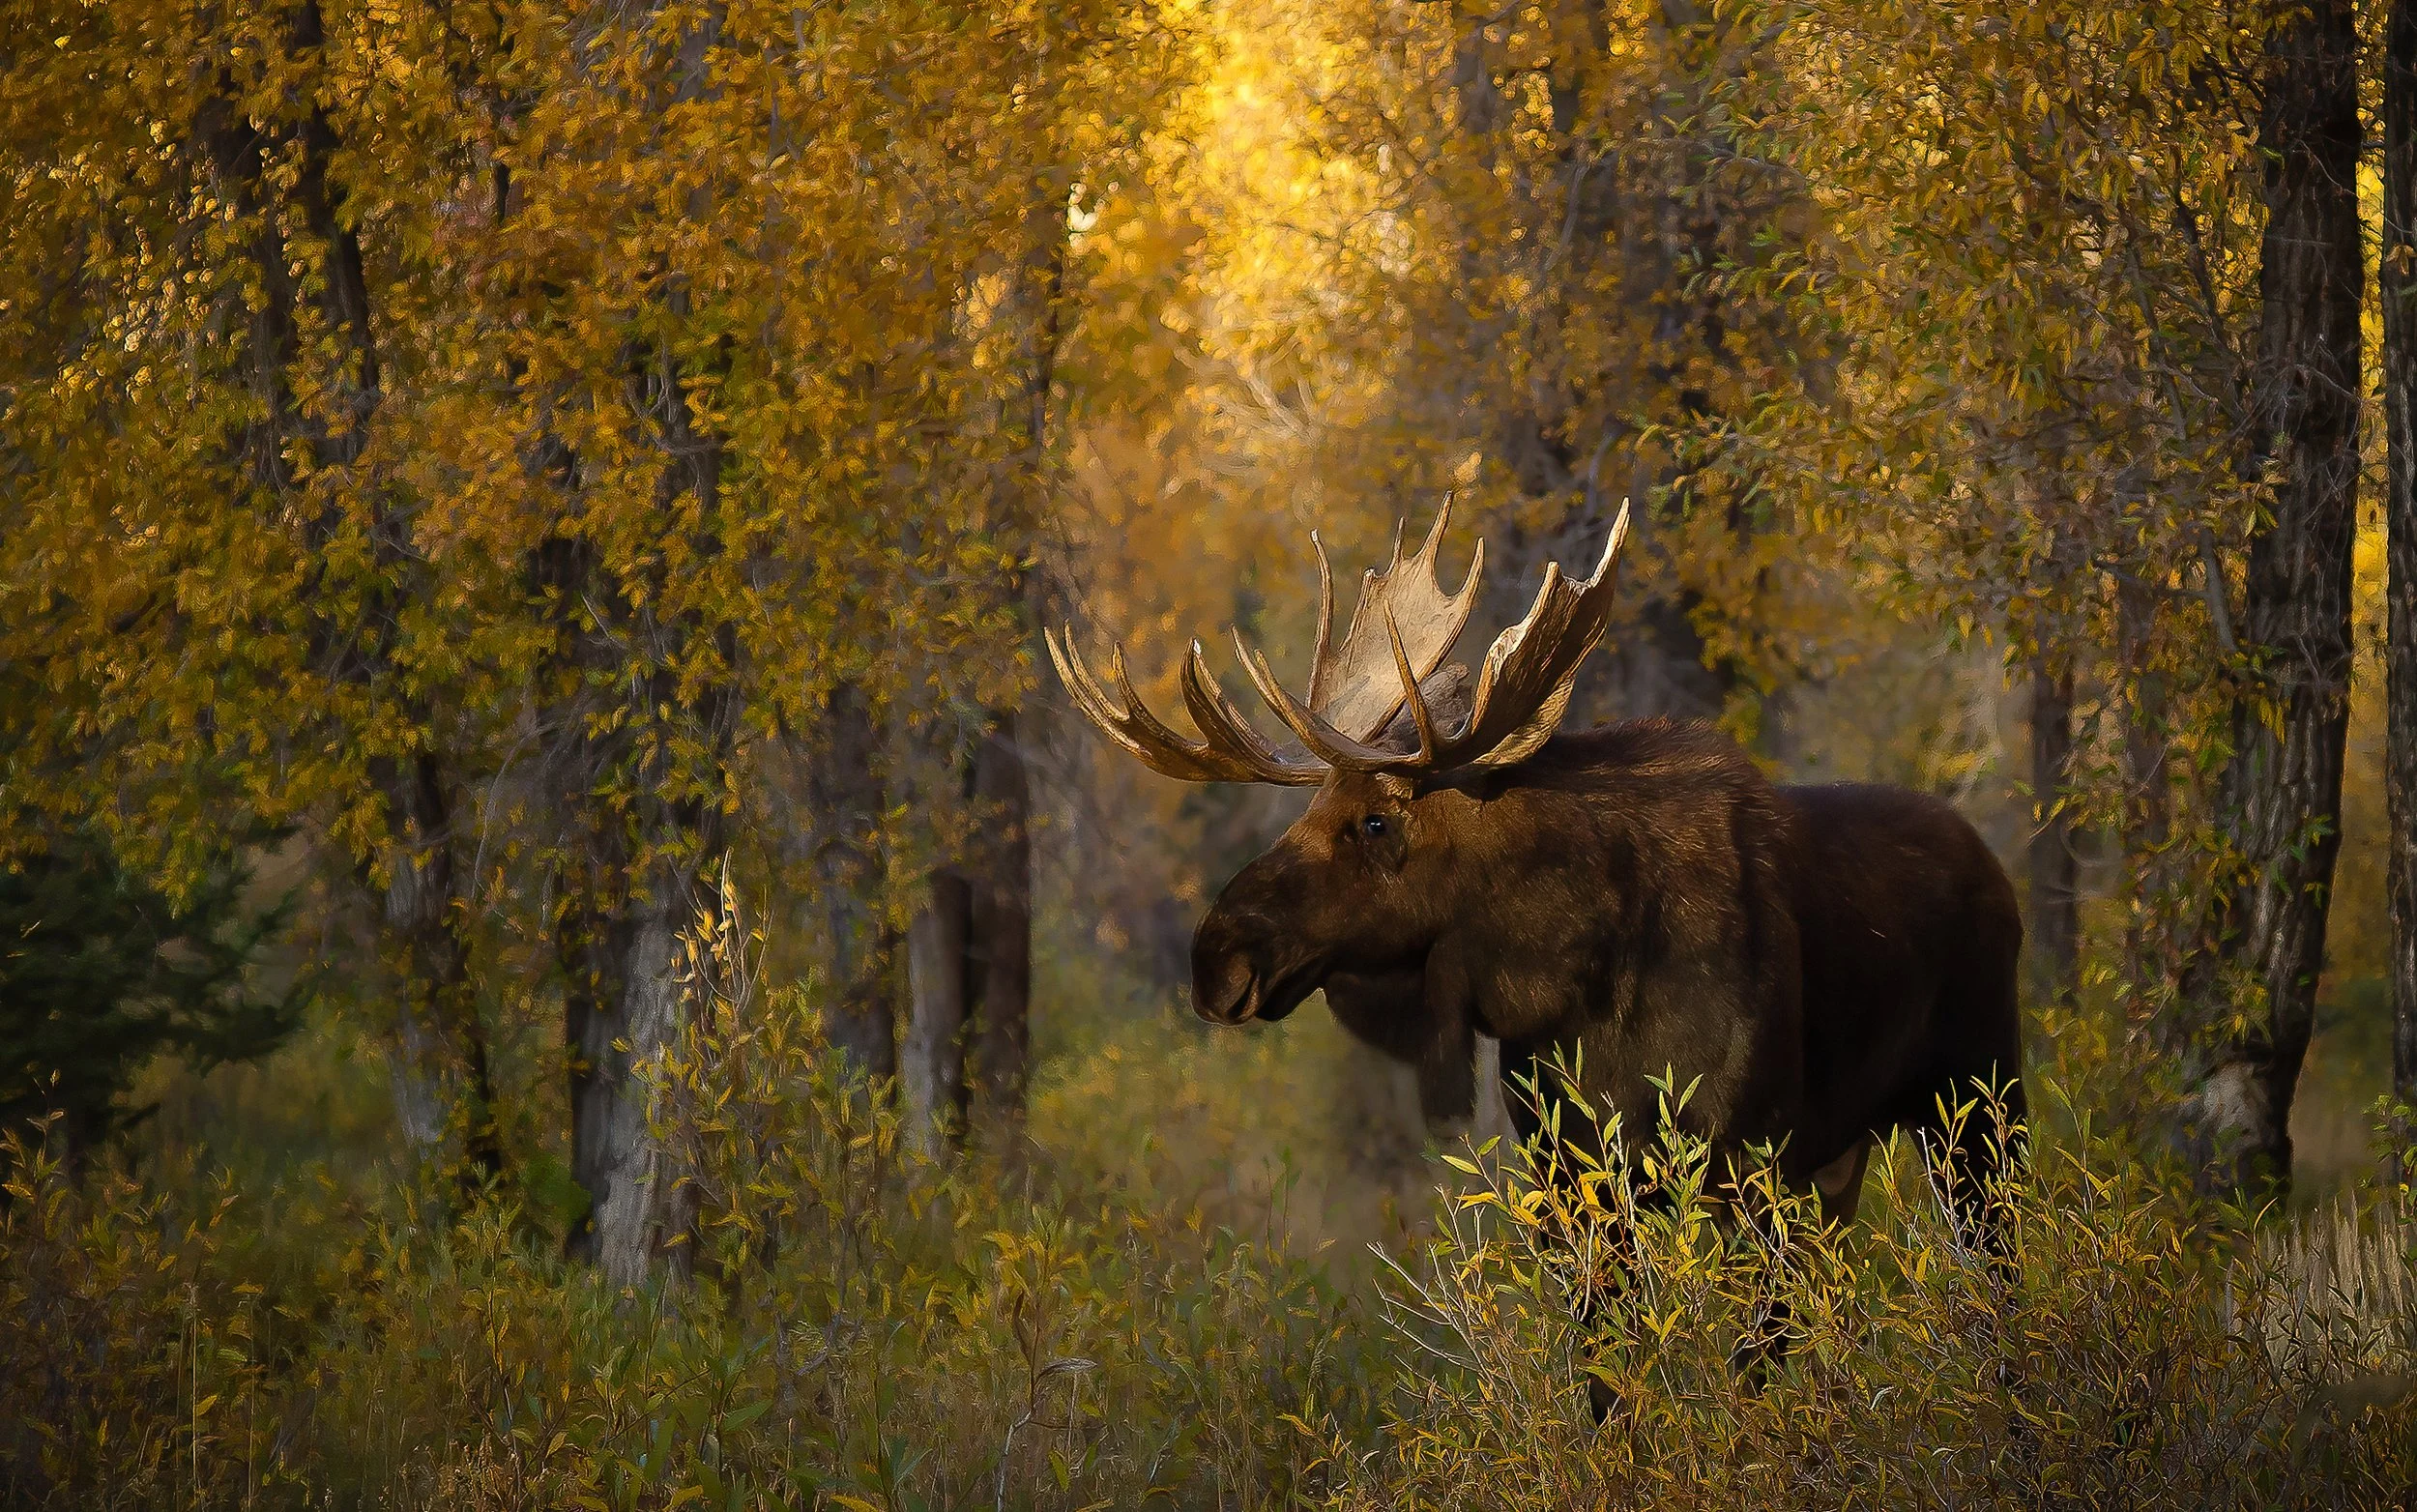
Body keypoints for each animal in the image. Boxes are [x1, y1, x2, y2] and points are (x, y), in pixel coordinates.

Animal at [1050, 503, 2026, 1344]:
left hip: (1978, 1104)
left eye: (1376, 821)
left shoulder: (1753, 1163)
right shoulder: (1572, 1184)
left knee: (1996, 1270)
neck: (1580, 989)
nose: (1215, 956)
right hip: (1851, 1156)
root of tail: (1994, 867)